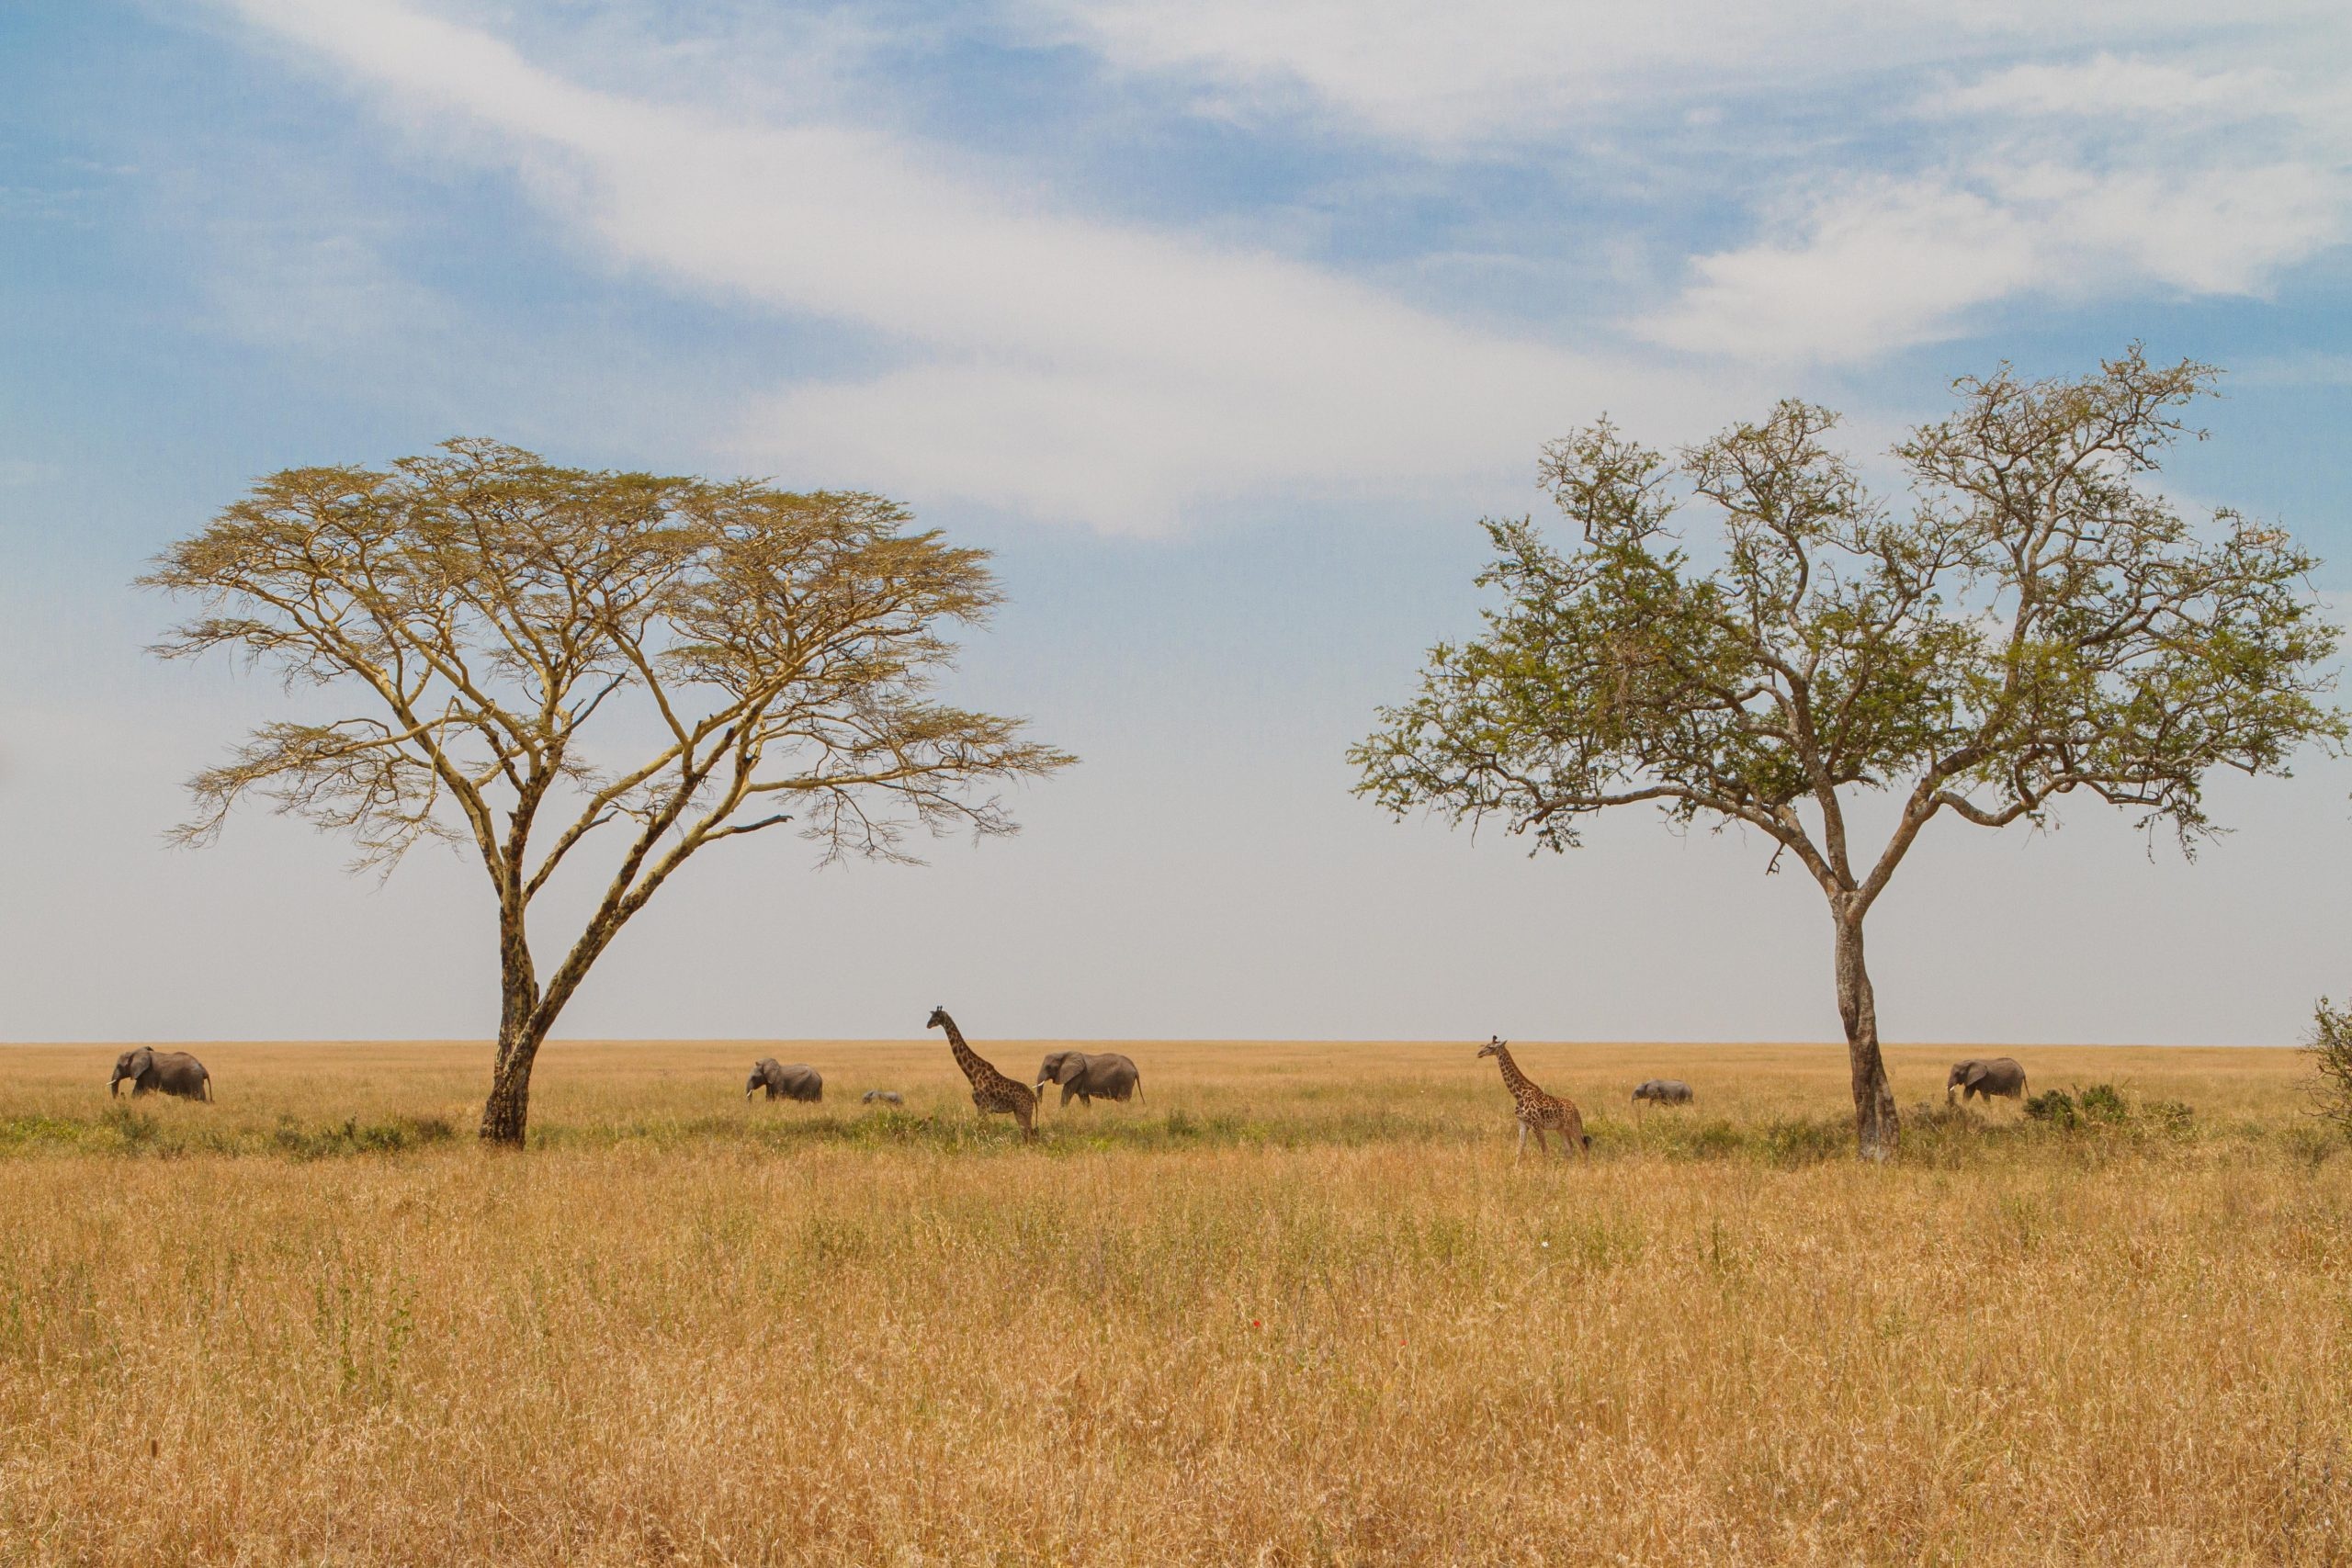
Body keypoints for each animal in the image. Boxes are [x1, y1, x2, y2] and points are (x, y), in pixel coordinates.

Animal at [922, 1006, 1035, 1142]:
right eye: (931, 1016)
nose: (928, 1025)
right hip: (1018, 1112)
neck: (973, 1074)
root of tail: (1033, 1097)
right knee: (1027, 1135)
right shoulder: (983, 1108)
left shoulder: (982, 1107)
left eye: (936, 1017)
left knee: (1030, 1135)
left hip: (1025, 1111)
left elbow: (981, 1130)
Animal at [1476, 1034, 1589, 1161]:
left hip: (1572, 1127)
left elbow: (1545, 1152)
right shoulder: (1522, 1123)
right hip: (1560, 1128)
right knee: (1569, 1148)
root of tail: (1576, 1110)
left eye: (1490, 1047)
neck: (1519, 1094)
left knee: (1584, 1149)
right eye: (1485, 1045)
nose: (1479, 1053)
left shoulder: (1536, 1125)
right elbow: (1519, 1150)